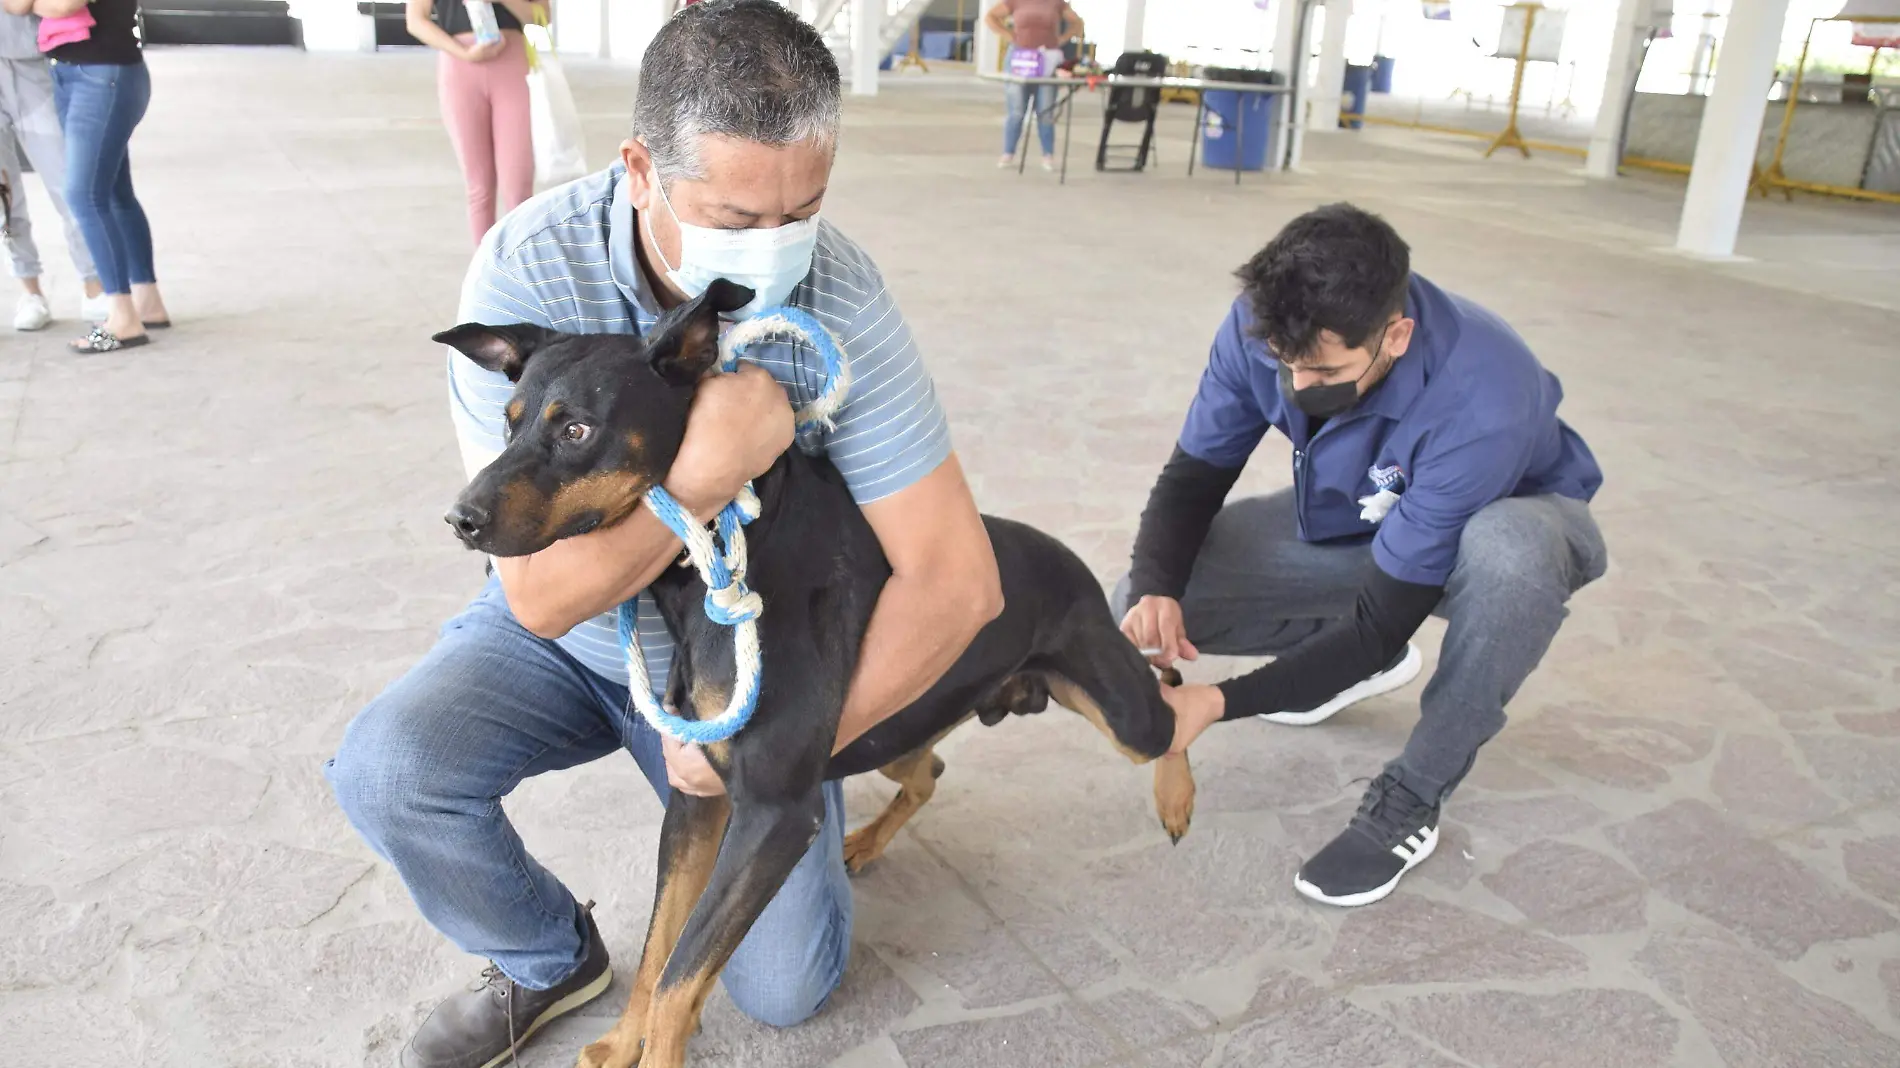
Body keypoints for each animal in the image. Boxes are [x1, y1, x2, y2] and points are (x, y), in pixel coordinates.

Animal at [437, 281, 1193, 1064]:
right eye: (507, 423)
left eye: (578, 430)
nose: (459, 519)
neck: (718, 557)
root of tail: (1069, 559)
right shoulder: (697, 796)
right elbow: (658, 948)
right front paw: (621, 1043)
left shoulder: (774, 812)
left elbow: (680, 971)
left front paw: (654, 1048)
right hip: (887, 732)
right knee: (930, 771)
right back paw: (868, 840)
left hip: (1118, 712)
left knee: (1174, 707)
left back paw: (1176, 797)